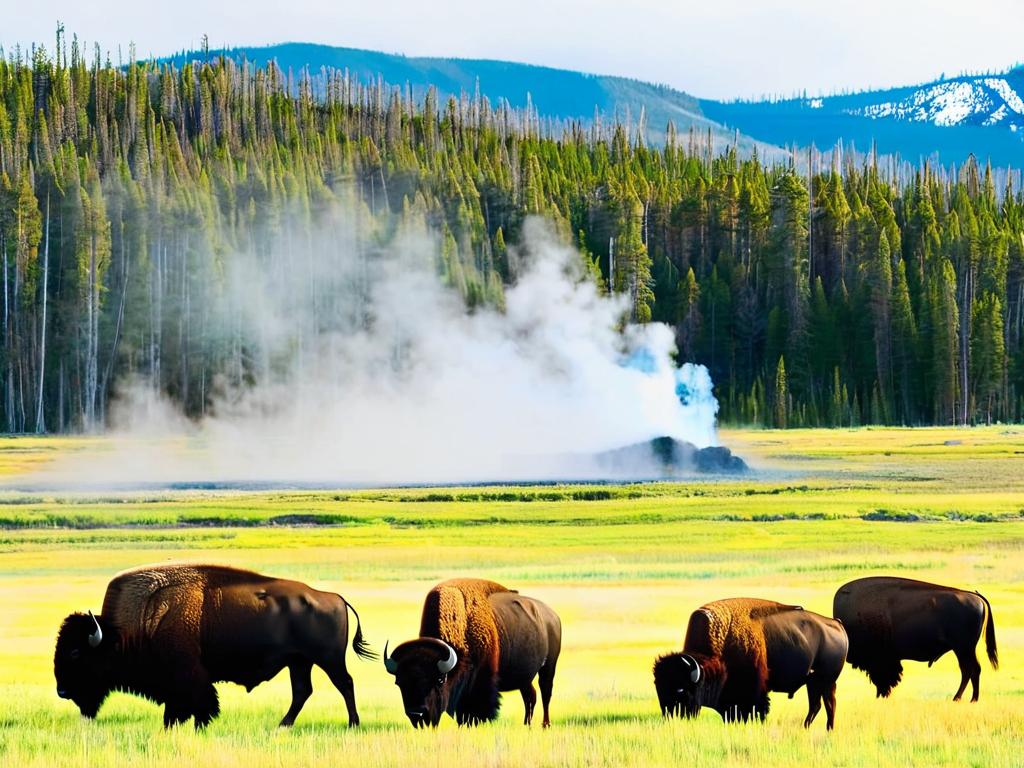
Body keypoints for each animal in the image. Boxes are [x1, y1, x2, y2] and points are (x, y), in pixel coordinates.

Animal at [50, 561, 372, 729]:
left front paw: (197, 725)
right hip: (299, 662)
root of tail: (334, 597)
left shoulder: (189, 676)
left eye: (76, 652)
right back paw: (283, 725)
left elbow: (199, 703)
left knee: (344, 683)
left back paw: (353, 724)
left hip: (327, 659)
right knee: (303, 691)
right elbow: (178, 707)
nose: (62, 691)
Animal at [382, 581, 561, 729]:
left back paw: (545, 725)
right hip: (525, 677)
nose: (417, 715)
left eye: (440, 680)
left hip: (549, 666)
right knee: (530, 695)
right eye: (399, 682)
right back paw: (526, 724)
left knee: (545, 692)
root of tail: (552, 615)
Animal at [655, 598, 847, 729]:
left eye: (681, 689)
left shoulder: (754, 692)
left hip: (826, 681)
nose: (670, 718)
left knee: (829, 704)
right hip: (813, 682)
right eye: (659, 688)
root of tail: (836, 624)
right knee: (817, 705)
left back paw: (827, 730)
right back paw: (806, 728)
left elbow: (756, 711)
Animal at [831, 577, 999, 704]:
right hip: (965, 649)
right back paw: (970, 699)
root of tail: (976, 597)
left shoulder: (882, 660)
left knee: (970, 669)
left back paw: (962, 698)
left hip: (963, 648)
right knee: (972, 670)